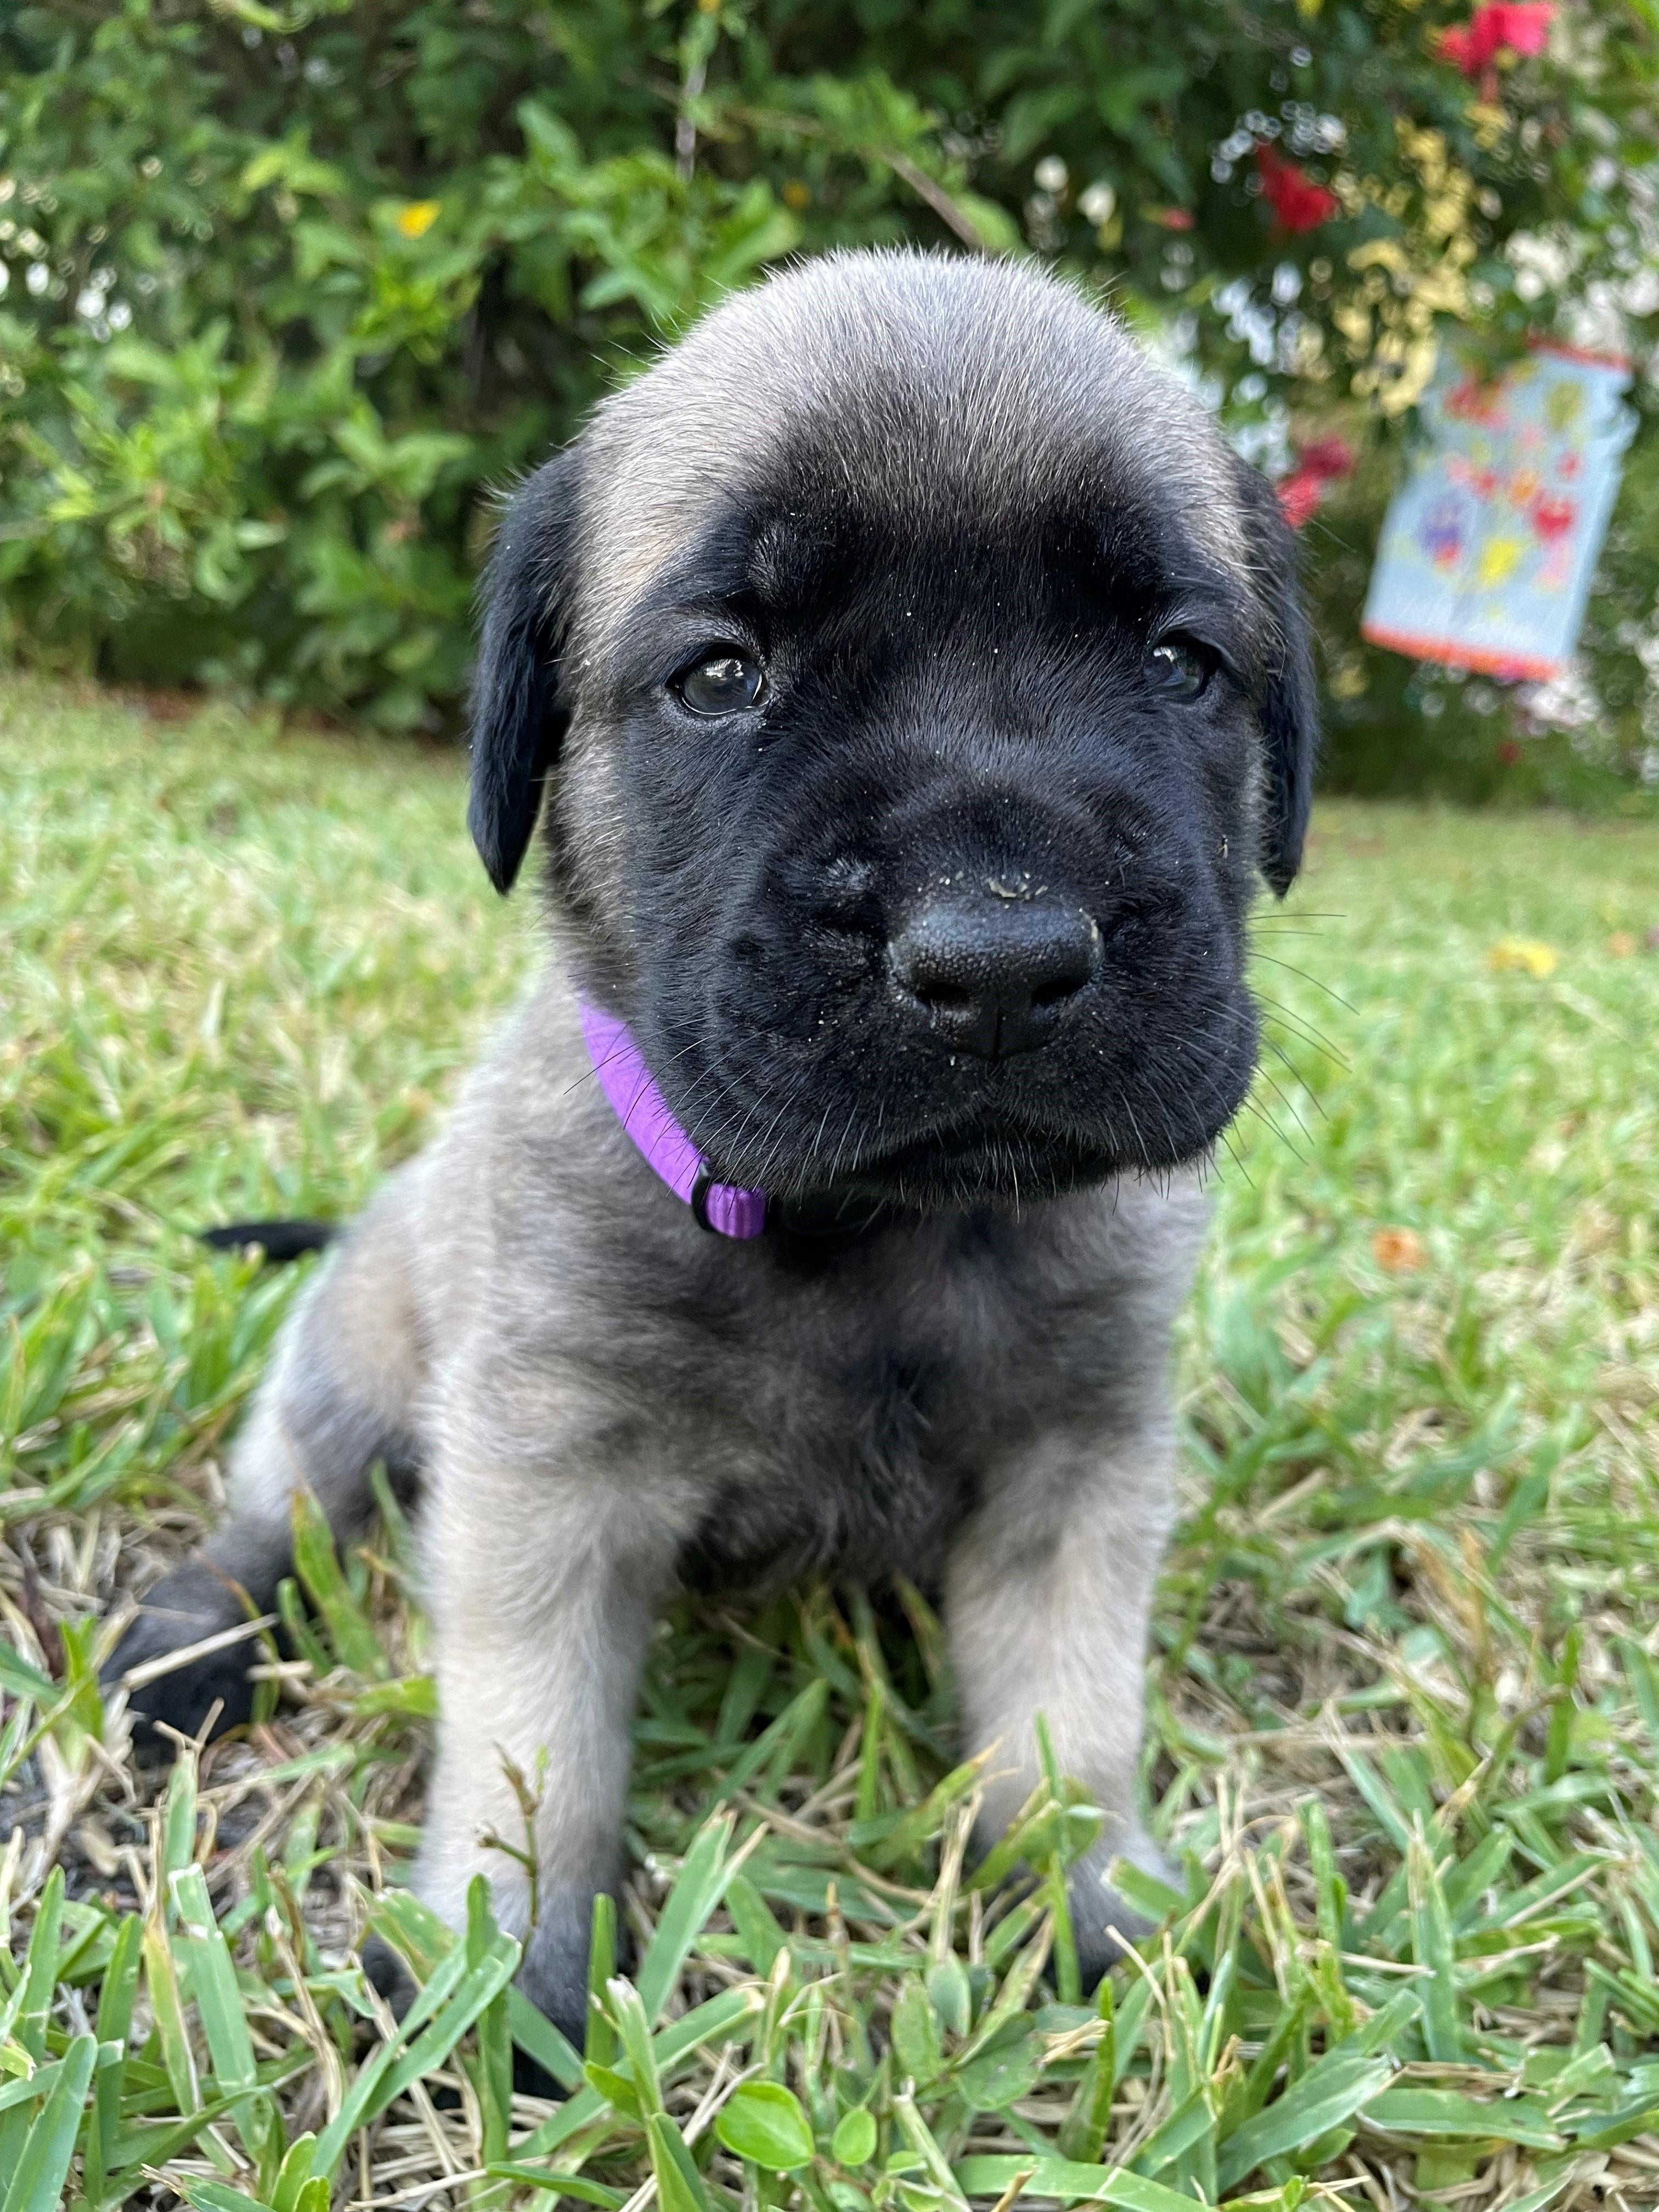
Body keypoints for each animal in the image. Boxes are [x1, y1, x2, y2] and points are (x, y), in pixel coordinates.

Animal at [105, 249, 1315, 2047]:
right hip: (350, 1371)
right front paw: (504, 1962)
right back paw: (188, 1643)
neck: (876, 1234)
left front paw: (1107, 1920)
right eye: (724, 675)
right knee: (278, 1517)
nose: (999, 964)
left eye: (1181, 662)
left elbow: (1069, 1723)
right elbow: (531, 1740)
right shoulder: (545, 1473)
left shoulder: (1079, 1473)